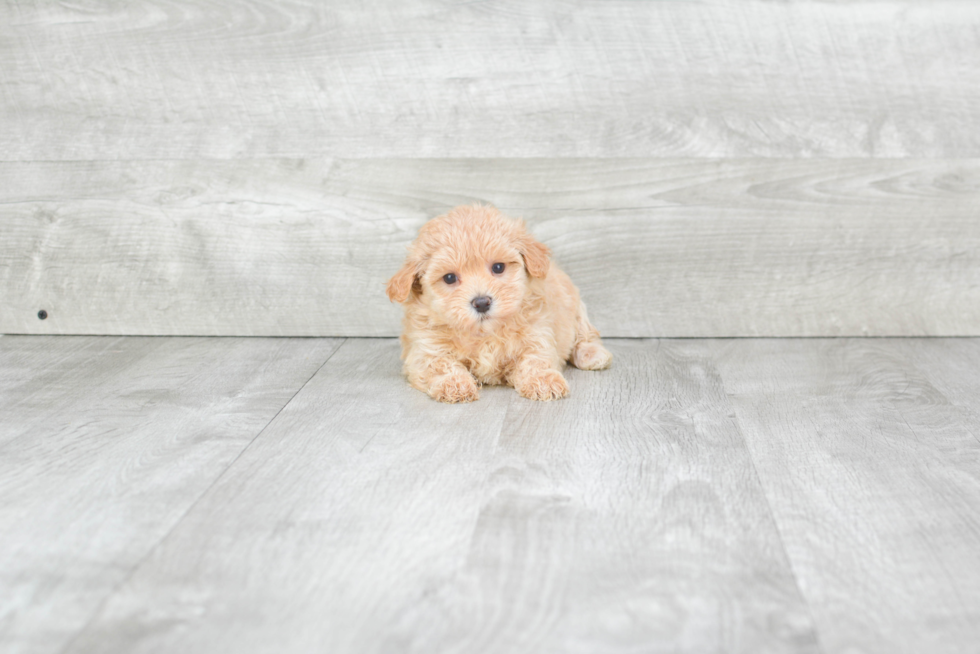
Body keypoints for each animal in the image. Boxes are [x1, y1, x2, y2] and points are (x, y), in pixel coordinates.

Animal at [384, 205, 608, 402]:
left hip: (576, 305)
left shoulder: (537, 333)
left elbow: (535, 358)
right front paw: (455, 384)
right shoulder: (425, 348)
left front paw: (543, 381)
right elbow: (440, 364)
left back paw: (592, 354)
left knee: (584, 333)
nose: (482, 302)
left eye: (498, 267)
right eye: (449, 278)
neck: (485, 332)